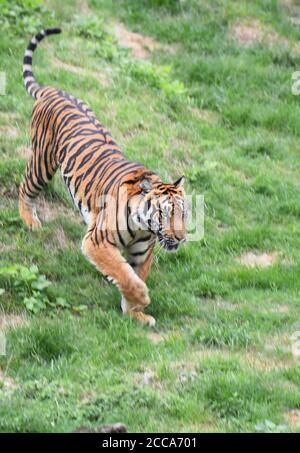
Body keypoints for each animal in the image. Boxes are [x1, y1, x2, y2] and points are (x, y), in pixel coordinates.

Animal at [19, 27, 186, 324]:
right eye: (165, 214)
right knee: (26, 187)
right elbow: (125, 275)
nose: (180, 238)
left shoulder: (142, 253)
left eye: (184, 213)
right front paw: (142, 298)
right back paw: (30, 220)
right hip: (42, 161)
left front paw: (135, 314)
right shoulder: (96, 241)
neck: (144, 227)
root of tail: (54, 90)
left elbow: (134, 275)